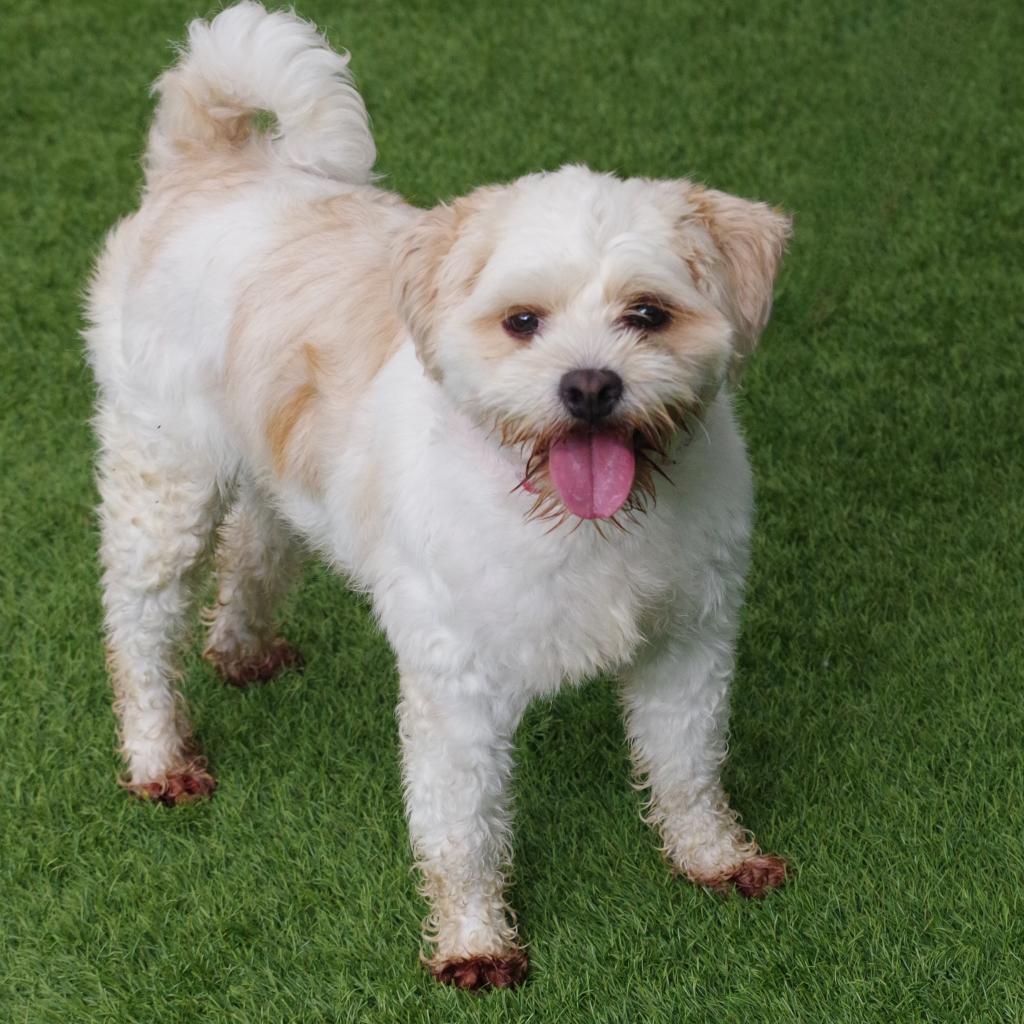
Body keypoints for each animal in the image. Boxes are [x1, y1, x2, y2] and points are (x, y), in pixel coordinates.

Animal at [86, 0, 790, 991]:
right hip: (165, 479)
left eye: (648, 314)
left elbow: (688, 768)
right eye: (522, 321)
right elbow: (464, 829)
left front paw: (716, 859)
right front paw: (475, 944)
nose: (589, 385)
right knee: (140, 626)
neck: (583, 527)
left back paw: (243, 649)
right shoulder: (458, 687)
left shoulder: (690, 640)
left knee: (257, 547)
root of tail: (210, 162)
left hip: (277, 474)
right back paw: (158, 758)